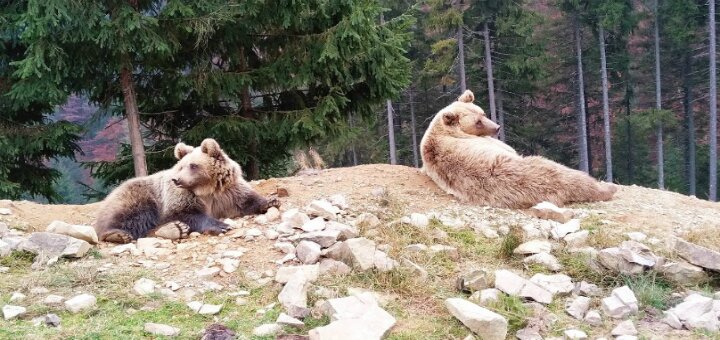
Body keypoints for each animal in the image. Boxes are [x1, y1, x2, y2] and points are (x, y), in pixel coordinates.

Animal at [93, 137, 278, 243]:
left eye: (193, 165)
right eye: (181, 166)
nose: (177, 180)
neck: (207, 189)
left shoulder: (228, 192)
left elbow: (246, 199)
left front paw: (271, 201)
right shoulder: (180, 196)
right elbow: (183, 213)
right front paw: (221, 226)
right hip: (139, 195)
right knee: (132, 215)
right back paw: (118, 234)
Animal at [420, 89, 616, 209]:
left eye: (483, 113)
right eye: (477, 122)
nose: (497, 127)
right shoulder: (491, 144)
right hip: (538, 167)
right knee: (571, 176)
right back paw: (607, 188)